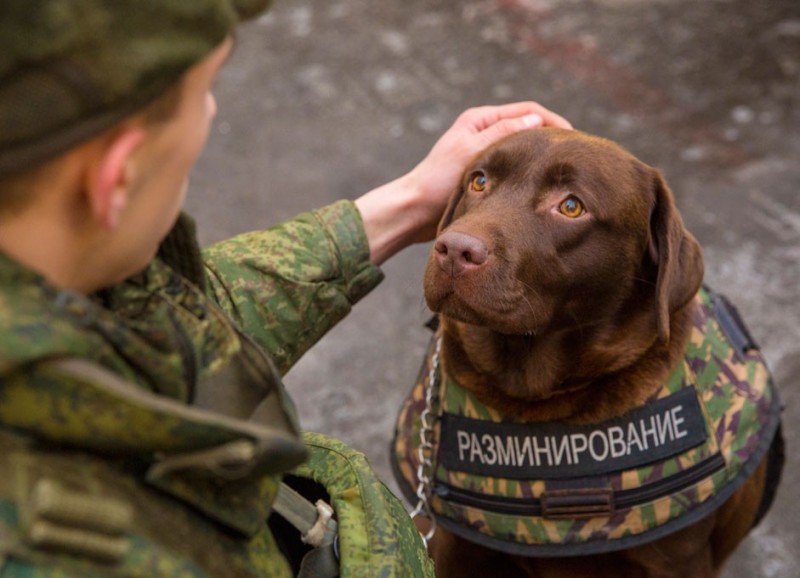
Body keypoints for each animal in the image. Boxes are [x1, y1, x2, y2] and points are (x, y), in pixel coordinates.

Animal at [416, 129, 784, 576]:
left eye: (571, 206)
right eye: (479, 181)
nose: (454, 250)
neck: (540, 395)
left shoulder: (679, 558)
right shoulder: (451, 546)